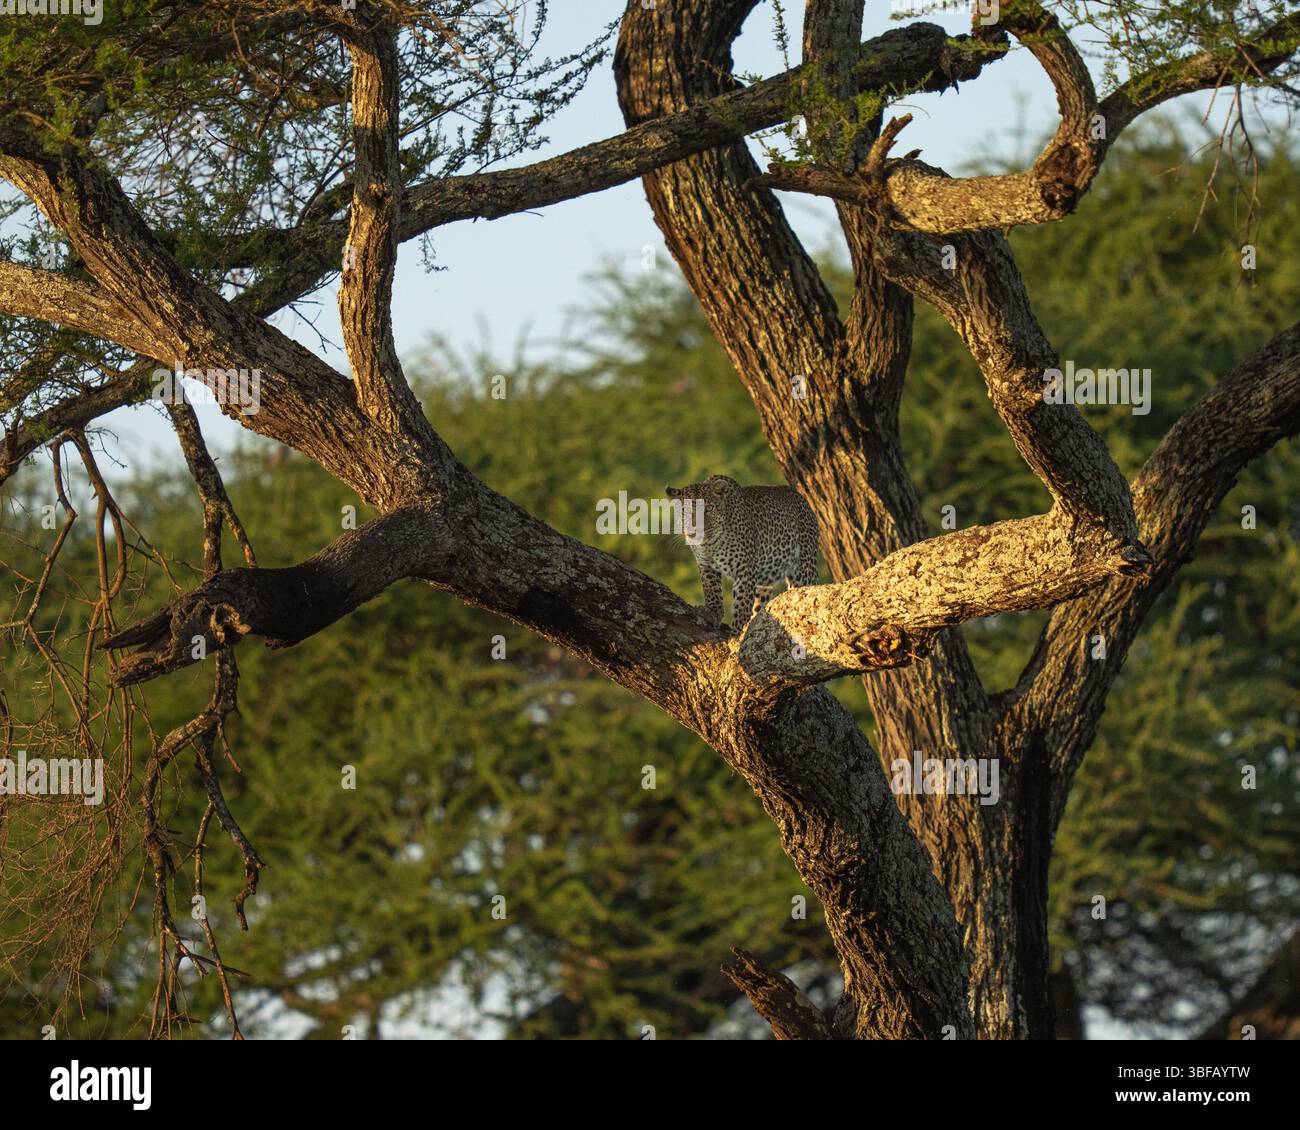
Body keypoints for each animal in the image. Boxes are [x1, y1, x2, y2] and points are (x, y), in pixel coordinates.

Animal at [665, 474, 821, 631]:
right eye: (685, 512)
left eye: (709, 508)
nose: (697, 530)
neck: (710, 544)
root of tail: (804, 501)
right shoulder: (705, 565)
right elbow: (712, 591)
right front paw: (713, 613)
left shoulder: (744, 571)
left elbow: (741, 605)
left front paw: (737, 632)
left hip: (804, 568)